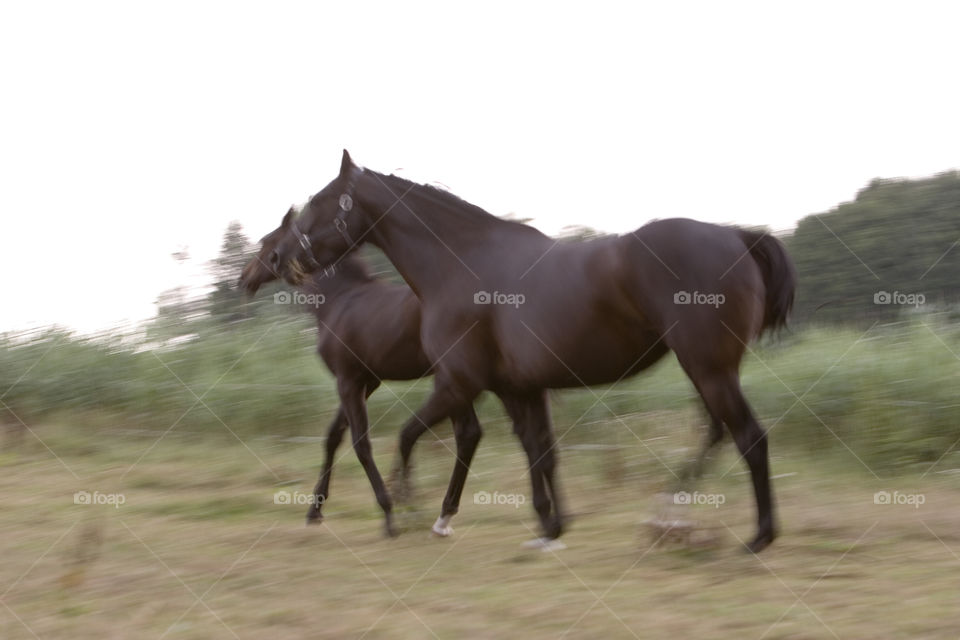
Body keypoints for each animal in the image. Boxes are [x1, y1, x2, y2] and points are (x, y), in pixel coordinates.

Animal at [239, 208, 485, 538]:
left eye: (267, 243)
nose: (244, 278)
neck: (339, 299)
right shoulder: (367, 382)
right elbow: (333, 436)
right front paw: (314, 511)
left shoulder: (348, 380)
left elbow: (360, 443)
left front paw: (389, 516)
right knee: (467, 434)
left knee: (463, 433)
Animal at [272, 150, 796, 553]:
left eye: (319, 202)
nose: (284, 260)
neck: (462, 264)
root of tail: (738, 235)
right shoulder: (516, 388)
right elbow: (541, 453)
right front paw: (550, 528)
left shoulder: (458, 383)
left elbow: (406, 436)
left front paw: (412, 510)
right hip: (708, 371)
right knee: (720, 434)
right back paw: (676, 509)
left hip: (709, 369)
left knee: (749, 438)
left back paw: (755, 536)